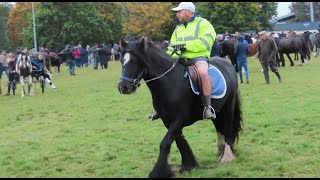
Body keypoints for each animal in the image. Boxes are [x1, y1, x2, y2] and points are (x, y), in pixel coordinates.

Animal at [119, 37, 244, 178]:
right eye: (122, 61)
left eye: (135, 61)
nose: (123, 87)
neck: (169, 82)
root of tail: (227, 64)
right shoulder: (168, 120)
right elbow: (179, 141)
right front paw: (188, 165)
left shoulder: (179, 119)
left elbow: (165, 143)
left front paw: (158, 171)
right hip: (217, 110)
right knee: (219, 127)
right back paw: (220, 152)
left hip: (228, 105)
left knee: (227, 128)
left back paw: (227, 156)